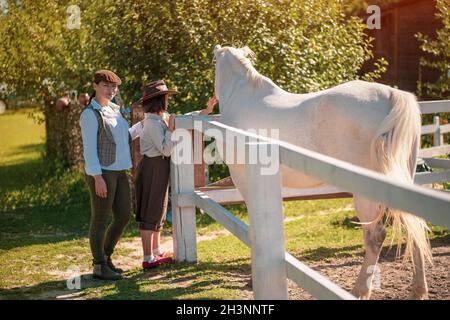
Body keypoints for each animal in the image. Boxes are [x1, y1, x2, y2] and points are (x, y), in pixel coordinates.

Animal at [214, 45, 432, 300]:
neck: (242, 96)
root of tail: (391, 95)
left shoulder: (244, 180)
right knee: (415, 229)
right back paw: (418, 289)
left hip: (366, 193)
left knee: (376, 236)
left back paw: (360, 289)